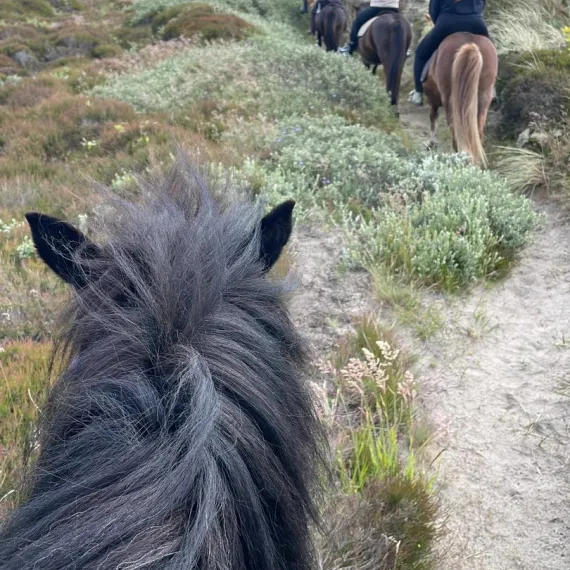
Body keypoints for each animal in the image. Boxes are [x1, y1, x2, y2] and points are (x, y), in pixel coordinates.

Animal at [422, 30, 496, 166]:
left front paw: (432, 142)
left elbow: (433, 118)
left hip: (448, 98)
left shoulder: (433, 100)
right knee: (478, 127)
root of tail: (471, 43)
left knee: (453, 125)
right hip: (484, 96)